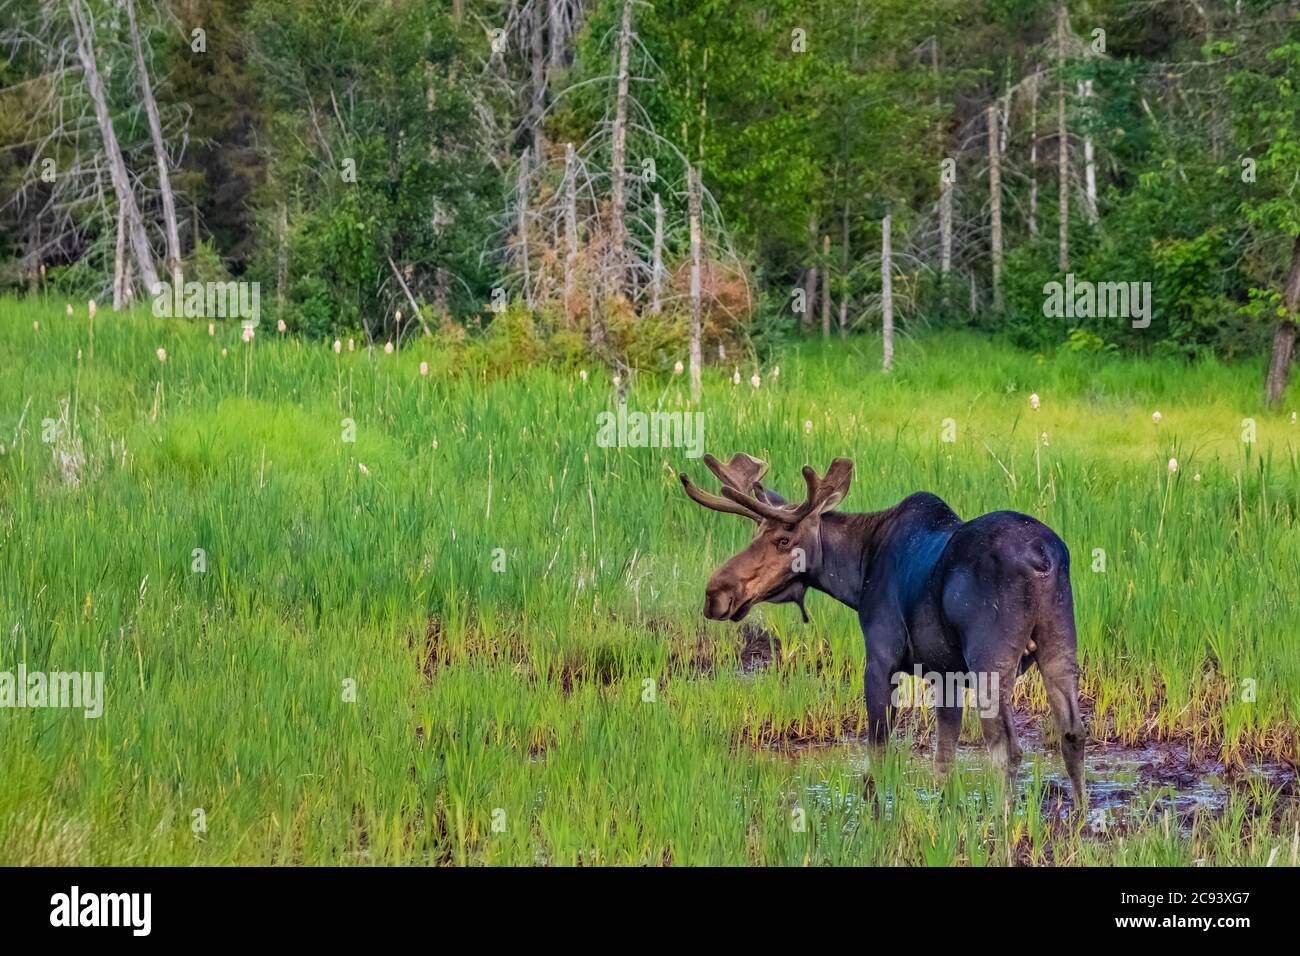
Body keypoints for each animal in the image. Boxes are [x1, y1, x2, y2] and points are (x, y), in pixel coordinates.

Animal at [680, 452, 1087, 808]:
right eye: (756, 534)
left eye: (783, 540)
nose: (716, 593)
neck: (857, 572)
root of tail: (1043, 558)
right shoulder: (946, 673)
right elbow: (944, 758)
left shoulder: (881, 656)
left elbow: (876, 753)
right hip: (1061, 644)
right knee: (1072, 733)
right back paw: (1080, 818)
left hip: (990, 658)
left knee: (1007, 748)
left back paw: (1001, 826)